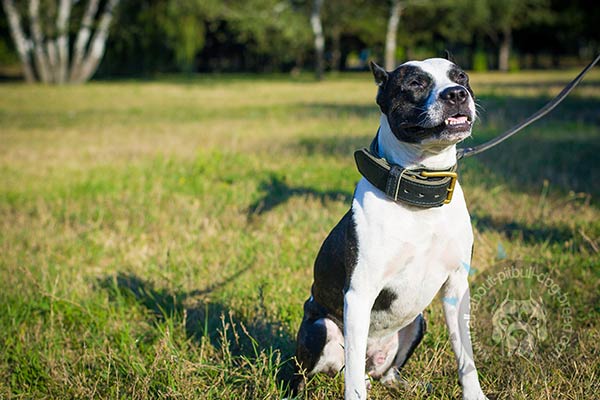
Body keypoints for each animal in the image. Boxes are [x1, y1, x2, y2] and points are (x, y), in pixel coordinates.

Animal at [292, 57, 490, 400]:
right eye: (414, 83)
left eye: (461, 76)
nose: (456, 94)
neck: (421, 195)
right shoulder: (359, 294)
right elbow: (353, 382)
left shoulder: (456, 287)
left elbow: (465, 355)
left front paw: (474, 394)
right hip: (321, 329)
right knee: (319, 373)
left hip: (417, 324)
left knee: (384, 374)